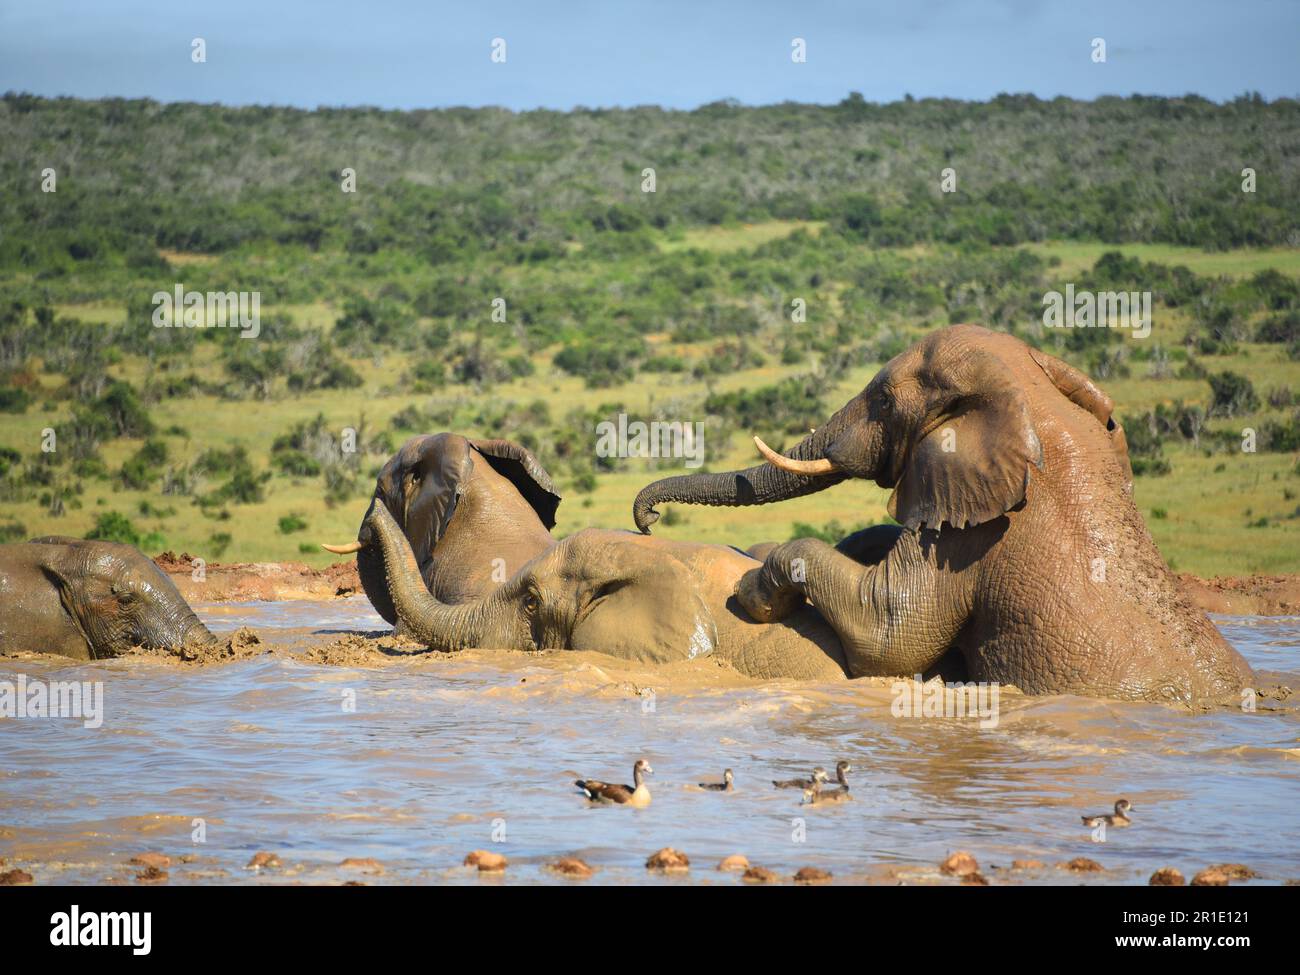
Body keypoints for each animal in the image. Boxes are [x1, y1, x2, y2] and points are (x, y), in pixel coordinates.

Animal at [634, 325, 1253, 707]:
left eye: (883, 400)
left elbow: (888, 634)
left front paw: (753, 592)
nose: (648, 517)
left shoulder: (980, 536)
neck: (1034, 407)